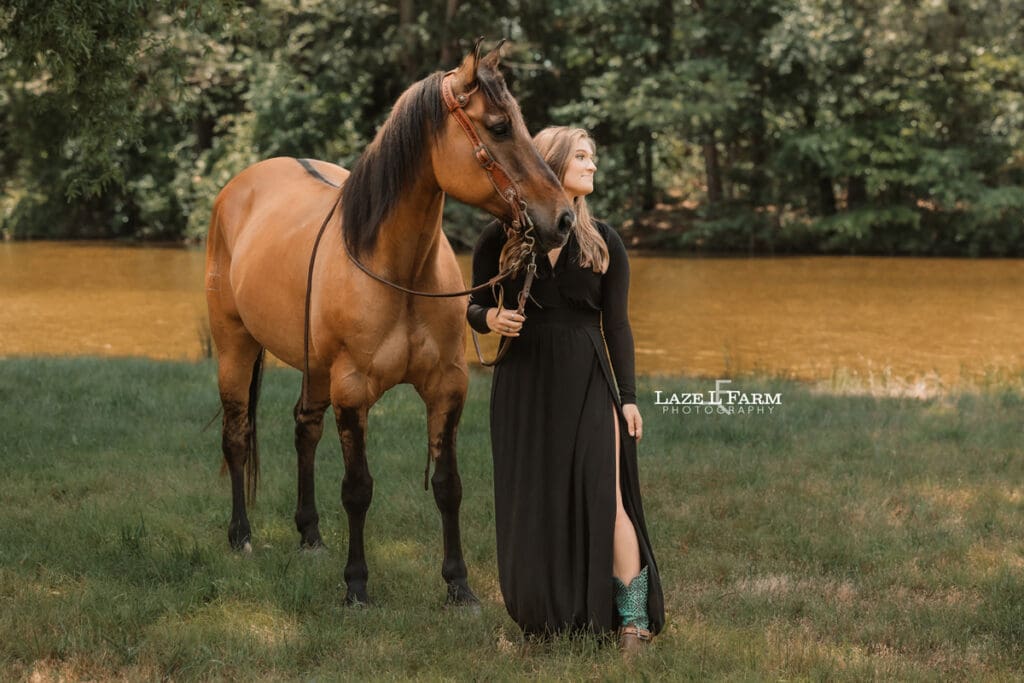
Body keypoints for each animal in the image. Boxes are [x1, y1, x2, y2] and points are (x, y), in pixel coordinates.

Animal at [204, 41, 574, 606]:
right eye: (498, 127)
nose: (562, 219)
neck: (399, 271)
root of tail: (237, 189)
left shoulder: (447, 387)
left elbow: (448, 486)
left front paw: (459, 585)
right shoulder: (352, 390)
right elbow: (358, 489)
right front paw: (357, 586)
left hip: (314, 369)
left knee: (304, 428)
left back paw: (310, 535)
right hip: (234, 347)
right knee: (237, 435)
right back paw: (241, 536)